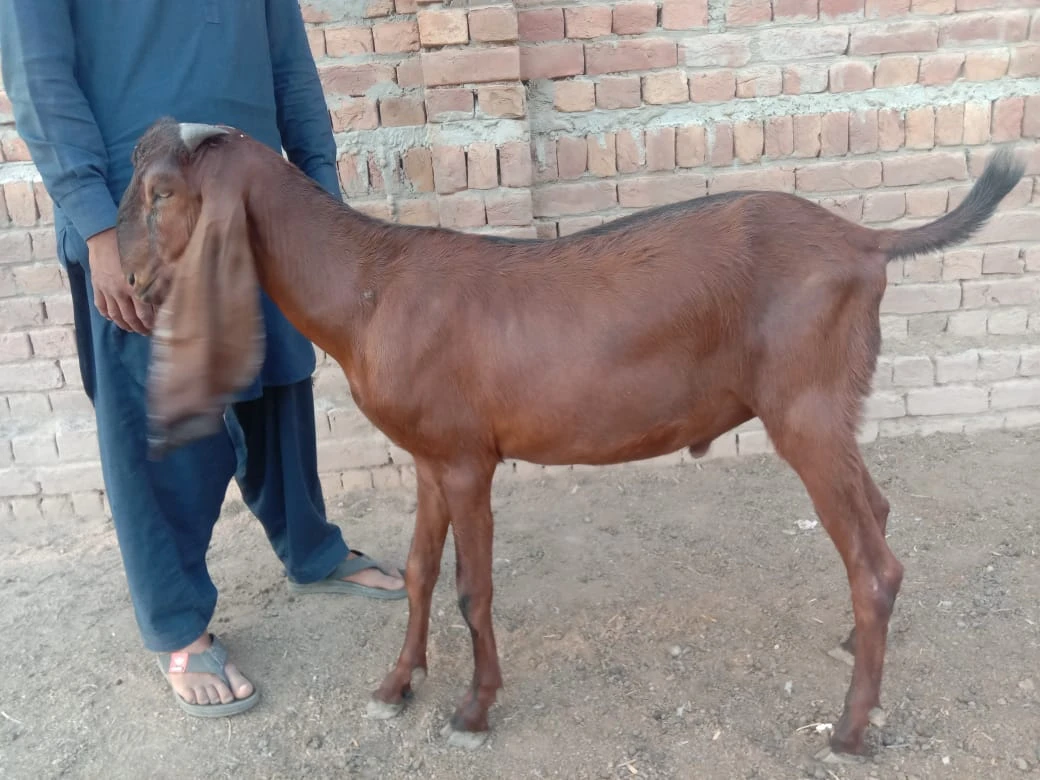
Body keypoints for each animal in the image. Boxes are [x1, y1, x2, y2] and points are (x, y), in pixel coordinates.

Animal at [113, 119, 1023, 761]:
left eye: (159, 195)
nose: (122, 281)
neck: (371, 288)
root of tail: (865, 240)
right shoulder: (428, 457)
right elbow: (416, 574)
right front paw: (397, 684)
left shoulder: (467, 461)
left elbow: (472, 588)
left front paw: (473, 709)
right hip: (830, 409)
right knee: (879, 512)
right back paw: (851, 647)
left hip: (806, 407)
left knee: (874, 563)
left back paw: (851, 728)